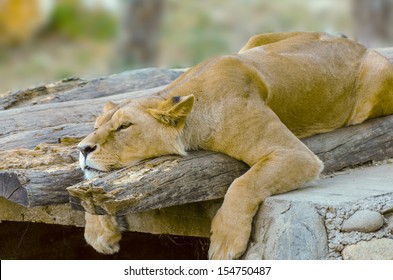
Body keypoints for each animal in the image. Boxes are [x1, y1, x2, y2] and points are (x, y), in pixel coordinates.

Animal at [76, 31, 392, 260]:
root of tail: (356, 43)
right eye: (96, 126)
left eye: (124, 127)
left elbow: (243, 184)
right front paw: (98, 232)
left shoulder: (294, 154)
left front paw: (225, 243)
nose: (82, 149)